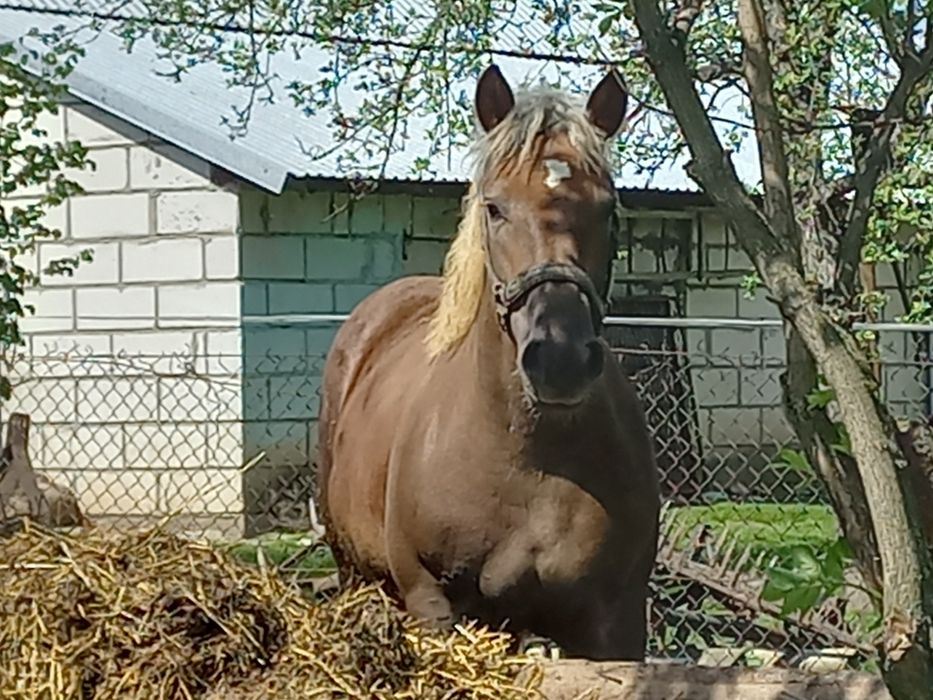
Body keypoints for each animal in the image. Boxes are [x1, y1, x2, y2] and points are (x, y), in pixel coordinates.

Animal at [314, 65, 664, 660]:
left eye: (609, 209)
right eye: (494, 207)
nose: (560, 359)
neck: (530, 456)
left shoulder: (616, 621)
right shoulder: (432, 602)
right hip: (356, 572)